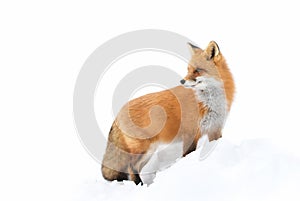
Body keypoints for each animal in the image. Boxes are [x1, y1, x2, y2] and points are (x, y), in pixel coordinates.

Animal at [102, 40, 236, 185]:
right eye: (188, 70)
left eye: (197, 70)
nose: (182, 81)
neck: (208, 101)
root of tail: (118, 112)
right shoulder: (190, 134)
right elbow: (187, 155)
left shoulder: (215, 129)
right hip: (144, 149)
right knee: (131, 167)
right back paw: (140, 185)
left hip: (148, 151)